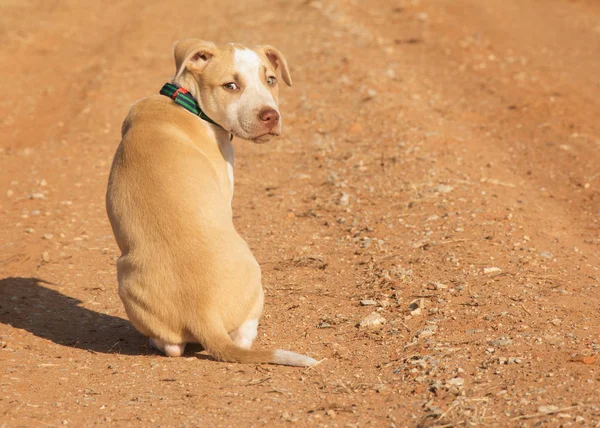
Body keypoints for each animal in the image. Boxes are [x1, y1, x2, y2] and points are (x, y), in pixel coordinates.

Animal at [105, 40, 316, 366]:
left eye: (271, 80)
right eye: (231, 86)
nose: (270, 116)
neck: (185, 101)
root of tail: (204, 316)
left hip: (126, 276)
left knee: (173, 347)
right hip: (254, 275)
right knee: (243, 334)